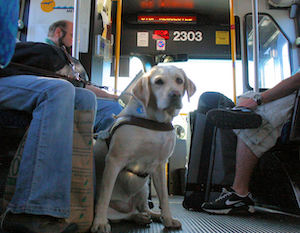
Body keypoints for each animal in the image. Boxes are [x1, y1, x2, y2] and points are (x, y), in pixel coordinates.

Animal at [91, 65, 197, 233]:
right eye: (158, 81)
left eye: (179, 80)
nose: (175, 94)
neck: (153, 122)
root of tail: (128, 206)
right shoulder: (114, 161)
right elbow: (104, 196)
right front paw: (100, 223)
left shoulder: (160, 165)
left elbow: (164, 198)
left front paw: (168, 219)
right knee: (125, 215)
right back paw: (137, 217)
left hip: (143, 189)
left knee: (143, 208)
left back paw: (153, 215)